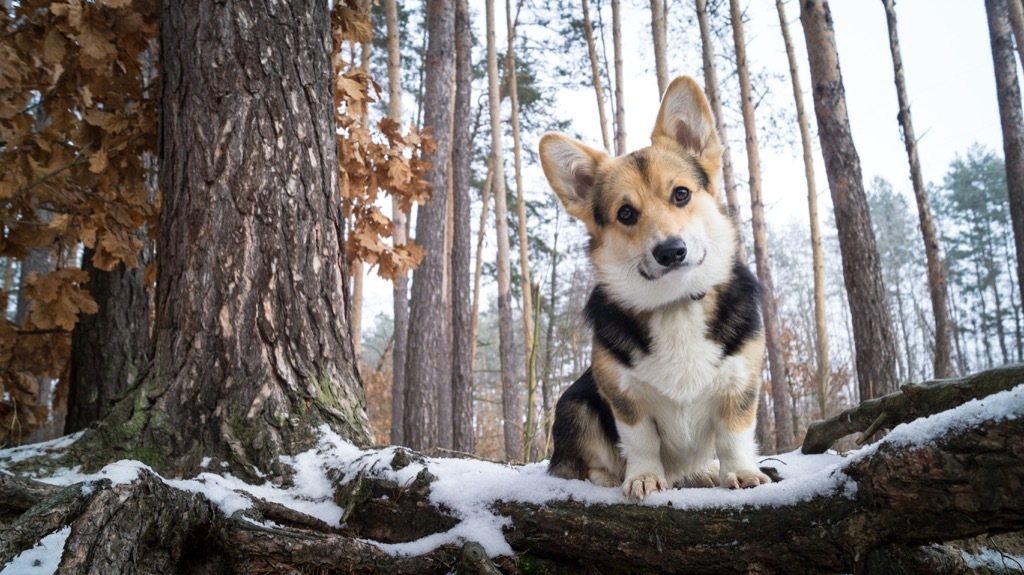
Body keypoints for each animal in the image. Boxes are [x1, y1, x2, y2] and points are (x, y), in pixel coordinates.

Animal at [544, 76, 770, 497]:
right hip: (575, 405)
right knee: (585, 459)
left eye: (681, 194)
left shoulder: (740, 385)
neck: (675, 303)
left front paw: (740, 473)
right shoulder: (624, 398)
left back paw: (703, 471)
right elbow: (640, 442)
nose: (670, 251)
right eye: (625, 213)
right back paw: (607, 477)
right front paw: (645, 479)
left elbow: (734, 437)